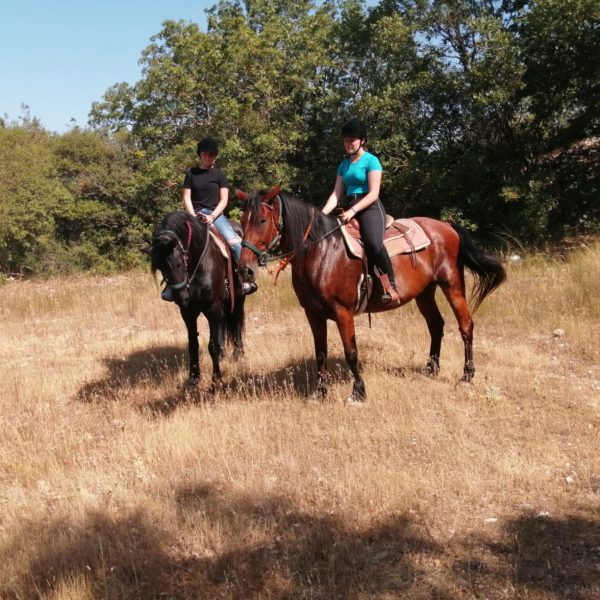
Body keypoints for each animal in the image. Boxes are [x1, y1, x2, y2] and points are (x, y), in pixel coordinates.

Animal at [146, 211, 245, 390]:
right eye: (160, 268)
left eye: (179, 262)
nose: (181, 297)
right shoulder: (188, 312)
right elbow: (193, 344)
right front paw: (193, 379)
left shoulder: (213, 308)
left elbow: (212, 345)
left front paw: (216, 382)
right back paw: (223, 354)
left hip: (239, 298)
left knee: (238, 322)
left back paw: (239, 354)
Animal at [236, 188, 506, 404]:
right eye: (241, 220)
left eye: (262, 220)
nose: (245, 269)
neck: (321, 251)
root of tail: (447, 226)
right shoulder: (313, 314)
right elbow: (320, 352)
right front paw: (319, 393)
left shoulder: (343, 312)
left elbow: (351, 352)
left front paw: (358, 392)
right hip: (424, 292)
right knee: (436, 325)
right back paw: (431, 369)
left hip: (452, 285)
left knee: (466, 325)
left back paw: (467, 376)